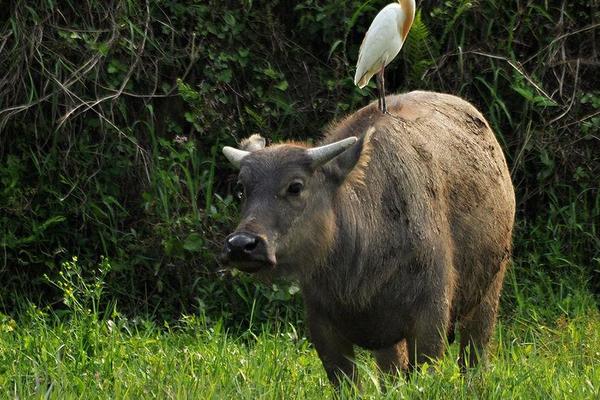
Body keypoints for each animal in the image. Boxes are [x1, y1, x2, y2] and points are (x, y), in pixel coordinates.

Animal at [220, 90, 516, 384]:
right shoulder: (323, 326)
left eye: (295, 186)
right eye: (242, 188)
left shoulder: (431, 318)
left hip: (490, 289)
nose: (242, 245)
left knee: (474, 357)